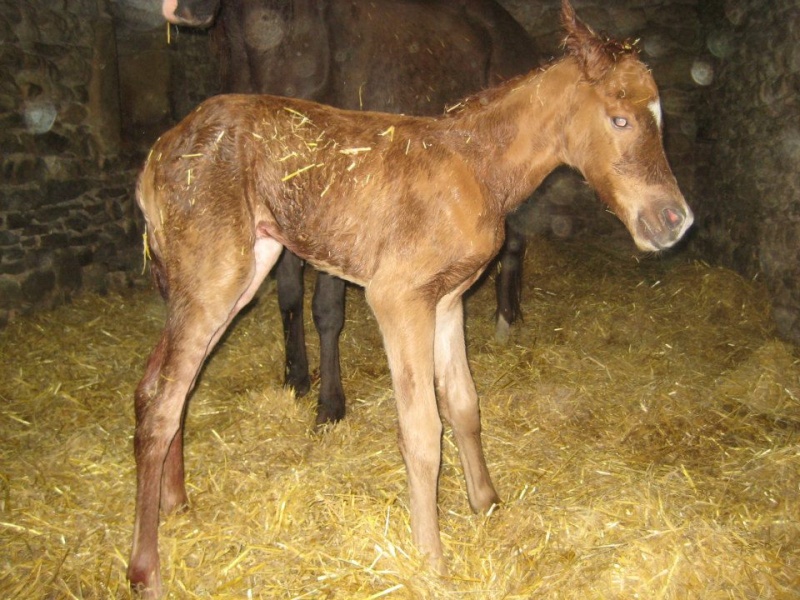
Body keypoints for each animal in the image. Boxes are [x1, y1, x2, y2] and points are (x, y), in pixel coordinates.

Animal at [162, 0, 540, 424]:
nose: (177, 11)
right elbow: (289, 295)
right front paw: (295, 378)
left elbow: (326, 309)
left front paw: (330, 403)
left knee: (515, 238)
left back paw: (506, 320)